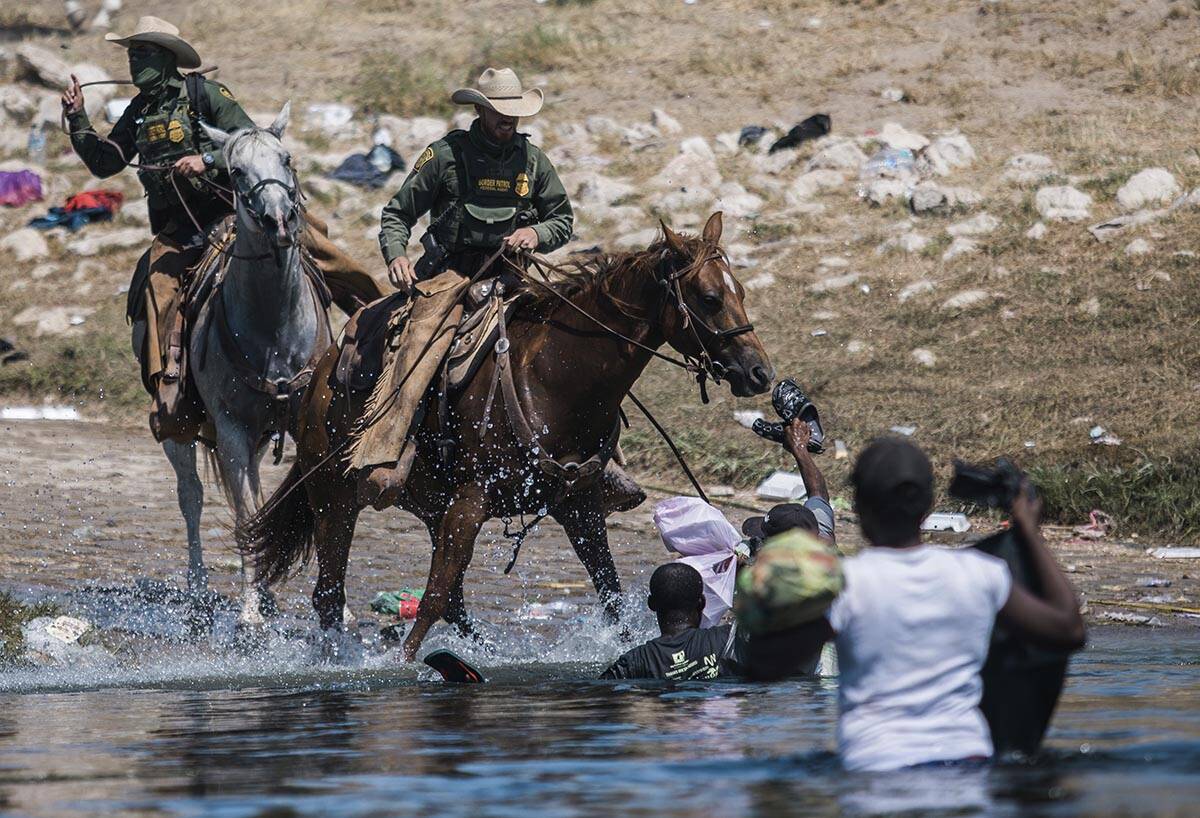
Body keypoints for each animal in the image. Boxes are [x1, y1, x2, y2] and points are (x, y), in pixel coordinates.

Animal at [158, 101, 333, 623]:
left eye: (287, 159)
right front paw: (249, 613)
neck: (273, 329)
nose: (278, 221)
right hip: (180, 428)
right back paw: (200, 592)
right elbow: (243, 513)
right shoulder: (231, 429)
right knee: (192, 497)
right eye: (236, 172)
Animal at [238, 209, 772, 657]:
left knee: (449, 599)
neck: (556, 379)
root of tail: (318, 377)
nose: (759, 373)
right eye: (710, 298)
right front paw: (404, 665)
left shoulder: (579, 507)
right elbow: (432, 598)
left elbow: (611, 595)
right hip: (334, 497)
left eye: (742, 293)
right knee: (331, 593)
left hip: (429, 503)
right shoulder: (472, 501)